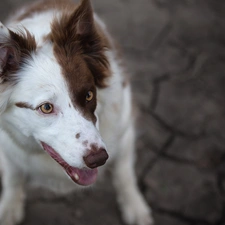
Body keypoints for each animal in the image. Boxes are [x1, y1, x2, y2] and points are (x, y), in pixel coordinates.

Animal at [0, 0, 153, 225]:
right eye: (46, 107)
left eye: (89, 95)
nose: (99, 159)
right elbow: (13, 176)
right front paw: (9, 207)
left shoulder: (124, 128)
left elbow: (124, 173)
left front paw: (134, 205)